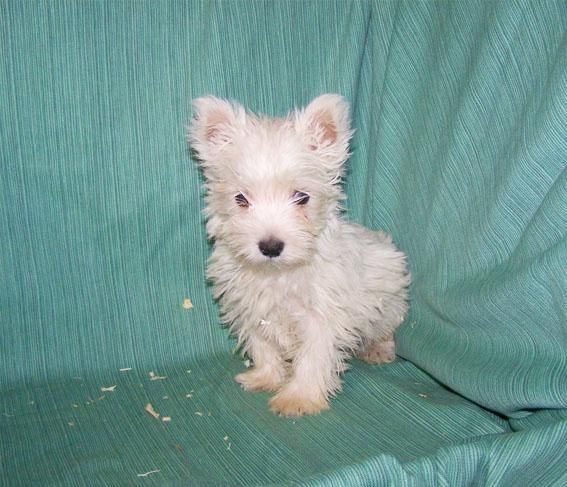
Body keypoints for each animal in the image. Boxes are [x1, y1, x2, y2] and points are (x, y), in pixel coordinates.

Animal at [190, 94, 408, 416]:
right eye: (241, 199)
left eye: (301, 197)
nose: (270, 246)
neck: (278, 274)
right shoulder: (251, 307)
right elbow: (262, 345)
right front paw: (265, 377)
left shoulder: (321, 316)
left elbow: (312, 358)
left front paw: (299, 397)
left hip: (389, 304)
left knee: (386, 328)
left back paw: (378, 349)